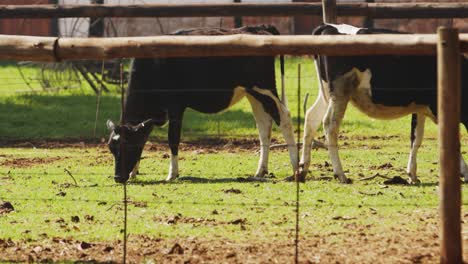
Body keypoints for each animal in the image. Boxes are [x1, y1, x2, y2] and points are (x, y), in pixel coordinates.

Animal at [106, 25, 298, 184]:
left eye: (127, 146)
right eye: (111, 149)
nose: (118, 178)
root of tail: (257, 28)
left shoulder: (176, 105)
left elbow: (173, 139)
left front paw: (172, 174)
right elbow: (144, 137)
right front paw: (134, 172)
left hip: (264, 87)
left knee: (284, 117)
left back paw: (296, 167)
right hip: (253, 92)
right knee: (264, 126)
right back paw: (260, 171)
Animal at [300, 24, 468, 184]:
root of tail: (329, 26)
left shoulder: (420, 107)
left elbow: (416, 138)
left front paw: (412, 174)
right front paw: (465, 172)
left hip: (326, 92)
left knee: (311, 117)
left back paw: (302, 169)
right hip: (340, 90)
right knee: (330, 124)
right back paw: (340, 174)